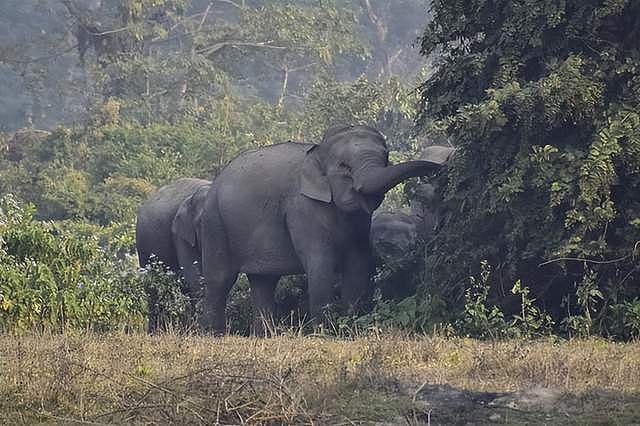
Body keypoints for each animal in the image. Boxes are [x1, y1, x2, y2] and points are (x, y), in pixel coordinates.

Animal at [136, 178, 211, 331]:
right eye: (202, 222)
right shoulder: (181, 234)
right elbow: (194, 276)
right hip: (143, 246)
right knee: (152, 289)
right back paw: (156, 330)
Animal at [198, 125, 452, 334]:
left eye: (386, 158)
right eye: (344, 166)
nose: (440, 169)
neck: (318, 152)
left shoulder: (360, 221)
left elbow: (357, 261)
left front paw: (349, 328)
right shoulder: (301, 208)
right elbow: (321, 261)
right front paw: (323, 332)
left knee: (264, 281)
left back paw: (265, 336)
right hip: (214, 222)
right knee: (220, 279)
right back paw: (215, 334)